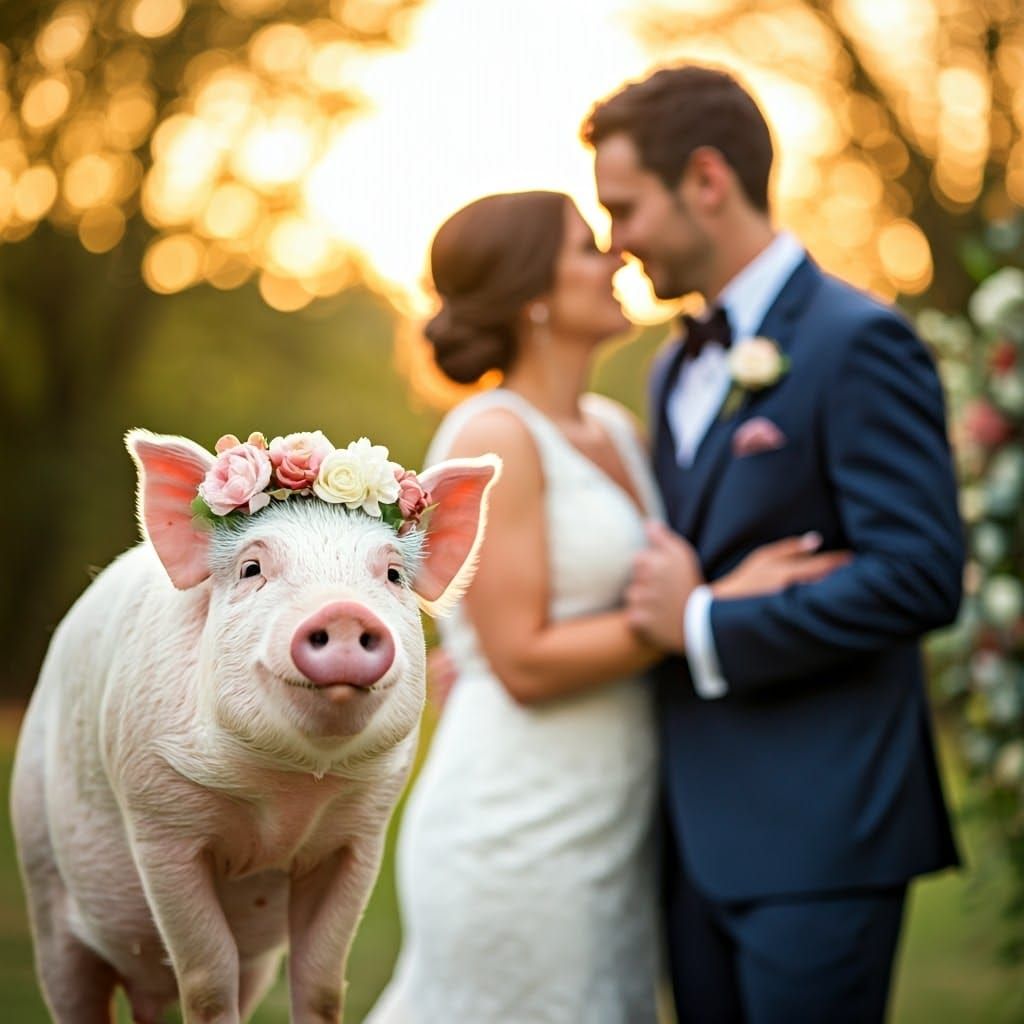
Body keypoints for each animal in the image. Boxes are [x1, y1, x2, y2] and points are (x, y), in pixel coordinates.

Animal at [10, 429, 500, 1024]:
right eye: (251, 569)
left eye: (392, 575)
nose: (343, 613)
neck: (285, 801)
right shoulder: (160, 823)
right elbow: (207, 977)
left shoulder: (361, 835)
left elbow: (321, 980)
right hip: (41, 878)